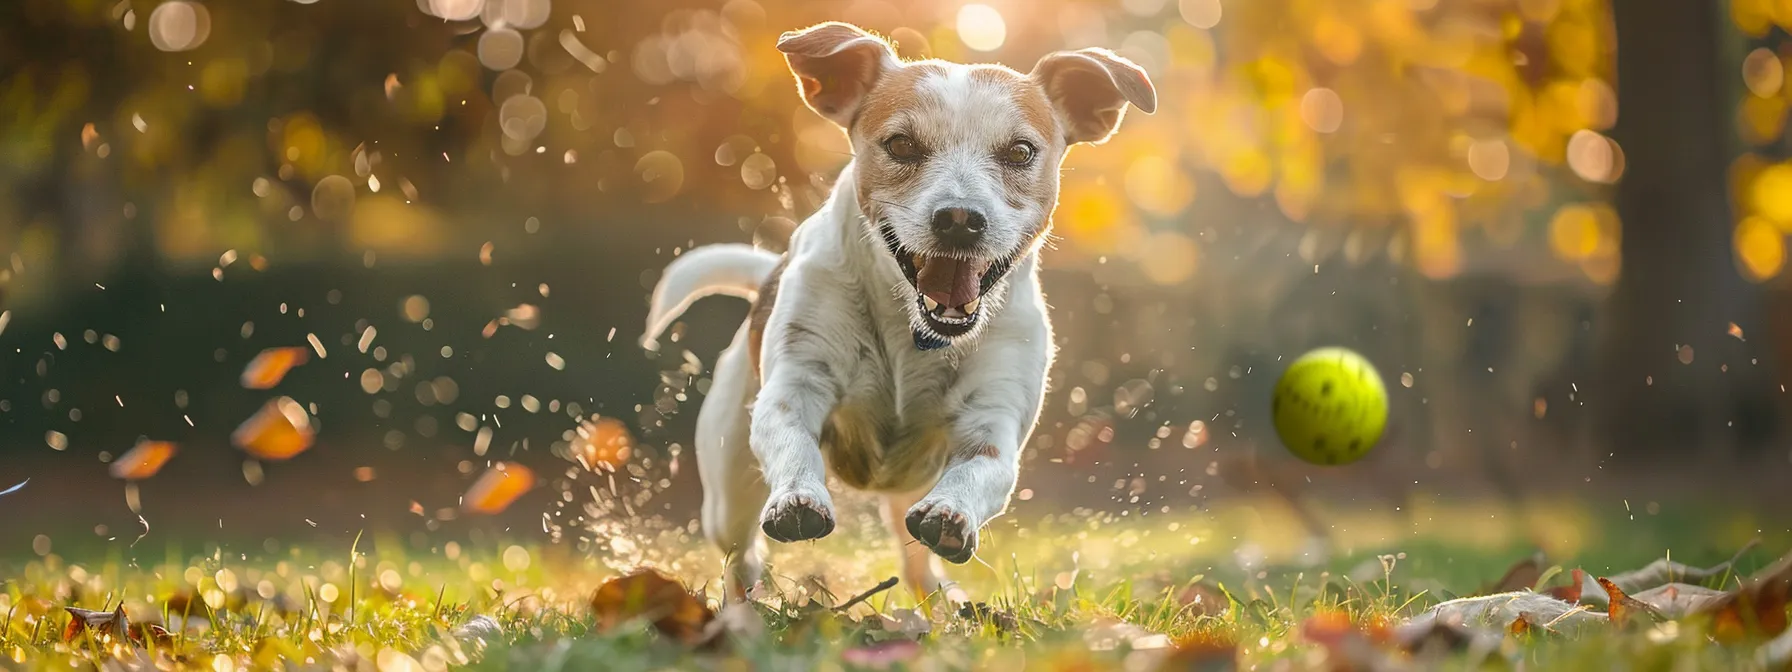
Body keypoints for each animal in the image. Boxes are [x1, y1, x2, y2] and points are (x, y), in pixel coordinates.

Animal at [645, 21, 1161, 602]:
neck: (912, 330)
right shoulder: (797, 382)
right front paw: (800, 496)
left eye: (1021, 151)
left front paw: (950, 513)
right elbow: (792, 438)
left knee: (916, 568)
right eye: (901, 144)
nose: (959, 218)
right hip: (729, 479)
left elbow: (979, 470)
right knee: (741, 555)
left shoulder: (994, 418)